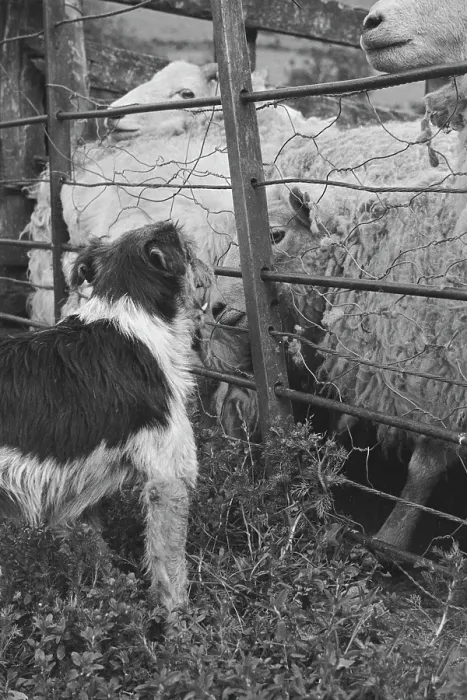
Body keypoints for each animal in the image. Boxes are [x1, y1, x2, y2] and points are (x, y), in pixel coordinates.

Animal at [0, 221, 199, 612]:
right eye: (187, 246)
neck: (129, 310)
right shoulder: (168, 478)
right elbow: (171, 570)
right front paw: (180, 624)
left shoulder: (74, 501)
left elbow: (97, 562)